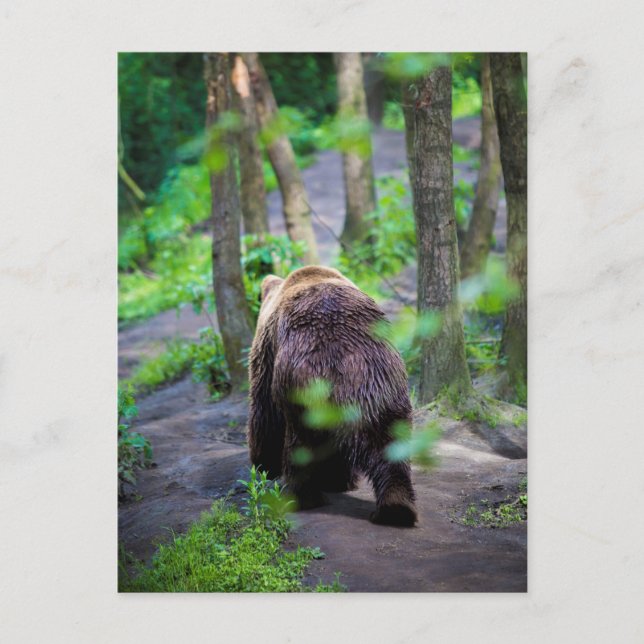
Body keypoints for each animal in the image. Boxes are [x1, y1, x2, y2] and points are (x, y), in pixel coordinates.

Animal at [247, 265, 417, 526]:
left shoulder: (267, 351)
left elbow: (264, 411)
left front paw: (263, 462)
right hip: (382, 382)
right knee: (390, 442)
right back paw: (395, 509)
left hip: (301, 383)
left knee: (300, 444)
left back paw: (301, 496)